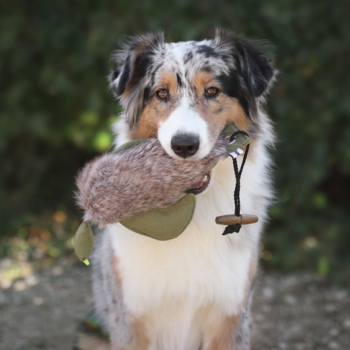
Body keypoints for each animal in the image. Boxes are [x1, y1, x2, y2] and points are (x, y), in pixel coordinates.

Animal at [76, 28, 276, 350]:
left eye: (212, 91)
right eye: (161, 93)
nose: (184, 145)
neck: (189, 210)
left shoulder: (231, 315)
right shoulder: (130, 316)